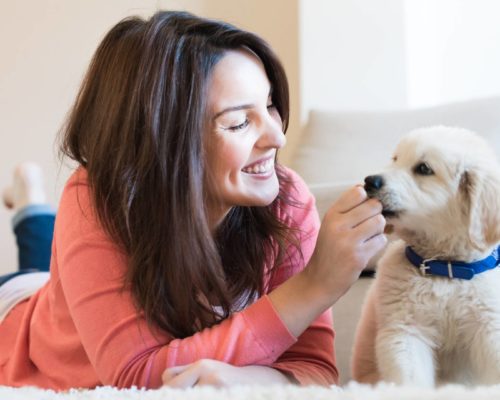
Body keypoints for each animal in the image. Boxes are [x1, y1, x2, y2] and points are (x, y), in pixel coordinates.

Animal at [350, 126, 500, 386]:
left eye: (423, 169)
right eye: (395, 159)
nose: (370, 180)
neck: (446, 268)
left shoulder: (489, 327)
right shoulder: (406, 331)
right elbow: (411, 380)